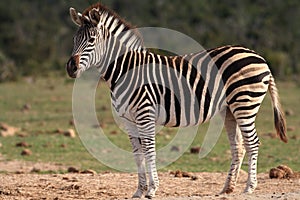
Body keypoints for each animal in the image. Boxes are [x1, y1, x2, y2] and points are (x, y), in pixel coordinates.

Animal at [67, 3, 288, 198]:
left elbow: (149, 150)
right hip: (229, 109)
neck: (126, 72)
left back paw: (249, 187)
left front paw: (152, 189)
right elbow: (137, 154)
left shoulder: (145, 114)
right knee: (238, 147)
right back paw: (227, 188)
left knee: (253, 143)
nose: (71, 68)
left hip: (245, 104)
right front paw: (139, 191)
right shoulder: (128, 120)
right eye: (74, 39)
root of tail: (259, 57)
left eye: (92, 39)